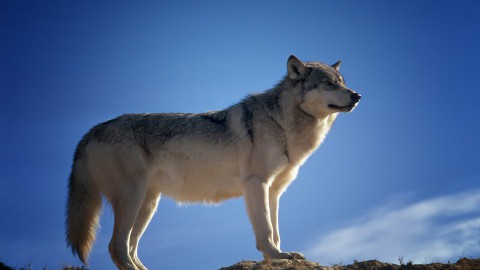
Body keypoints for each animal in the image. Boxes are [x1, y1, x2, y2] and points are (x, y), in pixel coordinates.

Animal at [66, 55, 360, 270]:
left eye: (342, 82)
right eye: (329, 84)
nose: (357, 95)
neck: (281, 123)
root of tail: (91, 130)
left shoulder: (274, 191)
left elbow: (275, 230)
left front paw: (278, 255)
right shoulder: (256, 184)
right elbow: (265, 230)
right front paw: (276, 256)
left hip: (148, 204)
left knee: (129, 248)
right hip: (133, 198)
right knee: (116, 247)